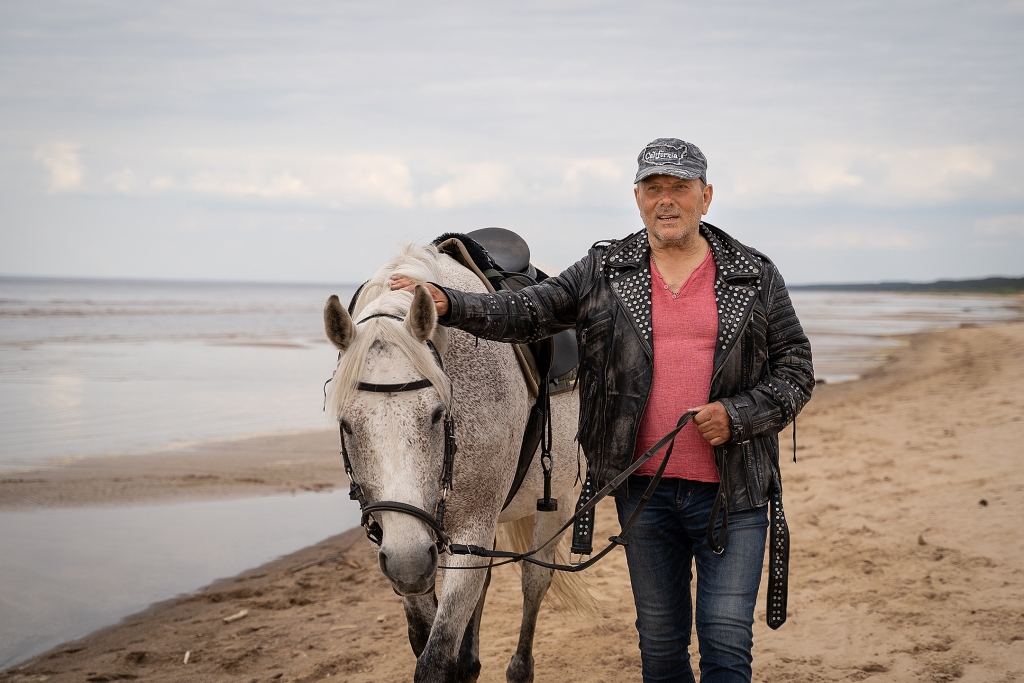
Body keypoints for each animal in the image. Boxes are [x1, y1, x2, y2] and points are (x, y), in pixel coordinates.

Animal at [323, 245, 589, 683]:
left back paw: (520, 667)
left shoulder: (469, 530)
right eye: (346, 423)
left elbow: (435, 659)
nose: (409, 561)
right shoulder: (407, 544)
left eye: (437, 414)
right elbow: (423, 638)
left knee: (534, 581)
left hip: (559, 500)